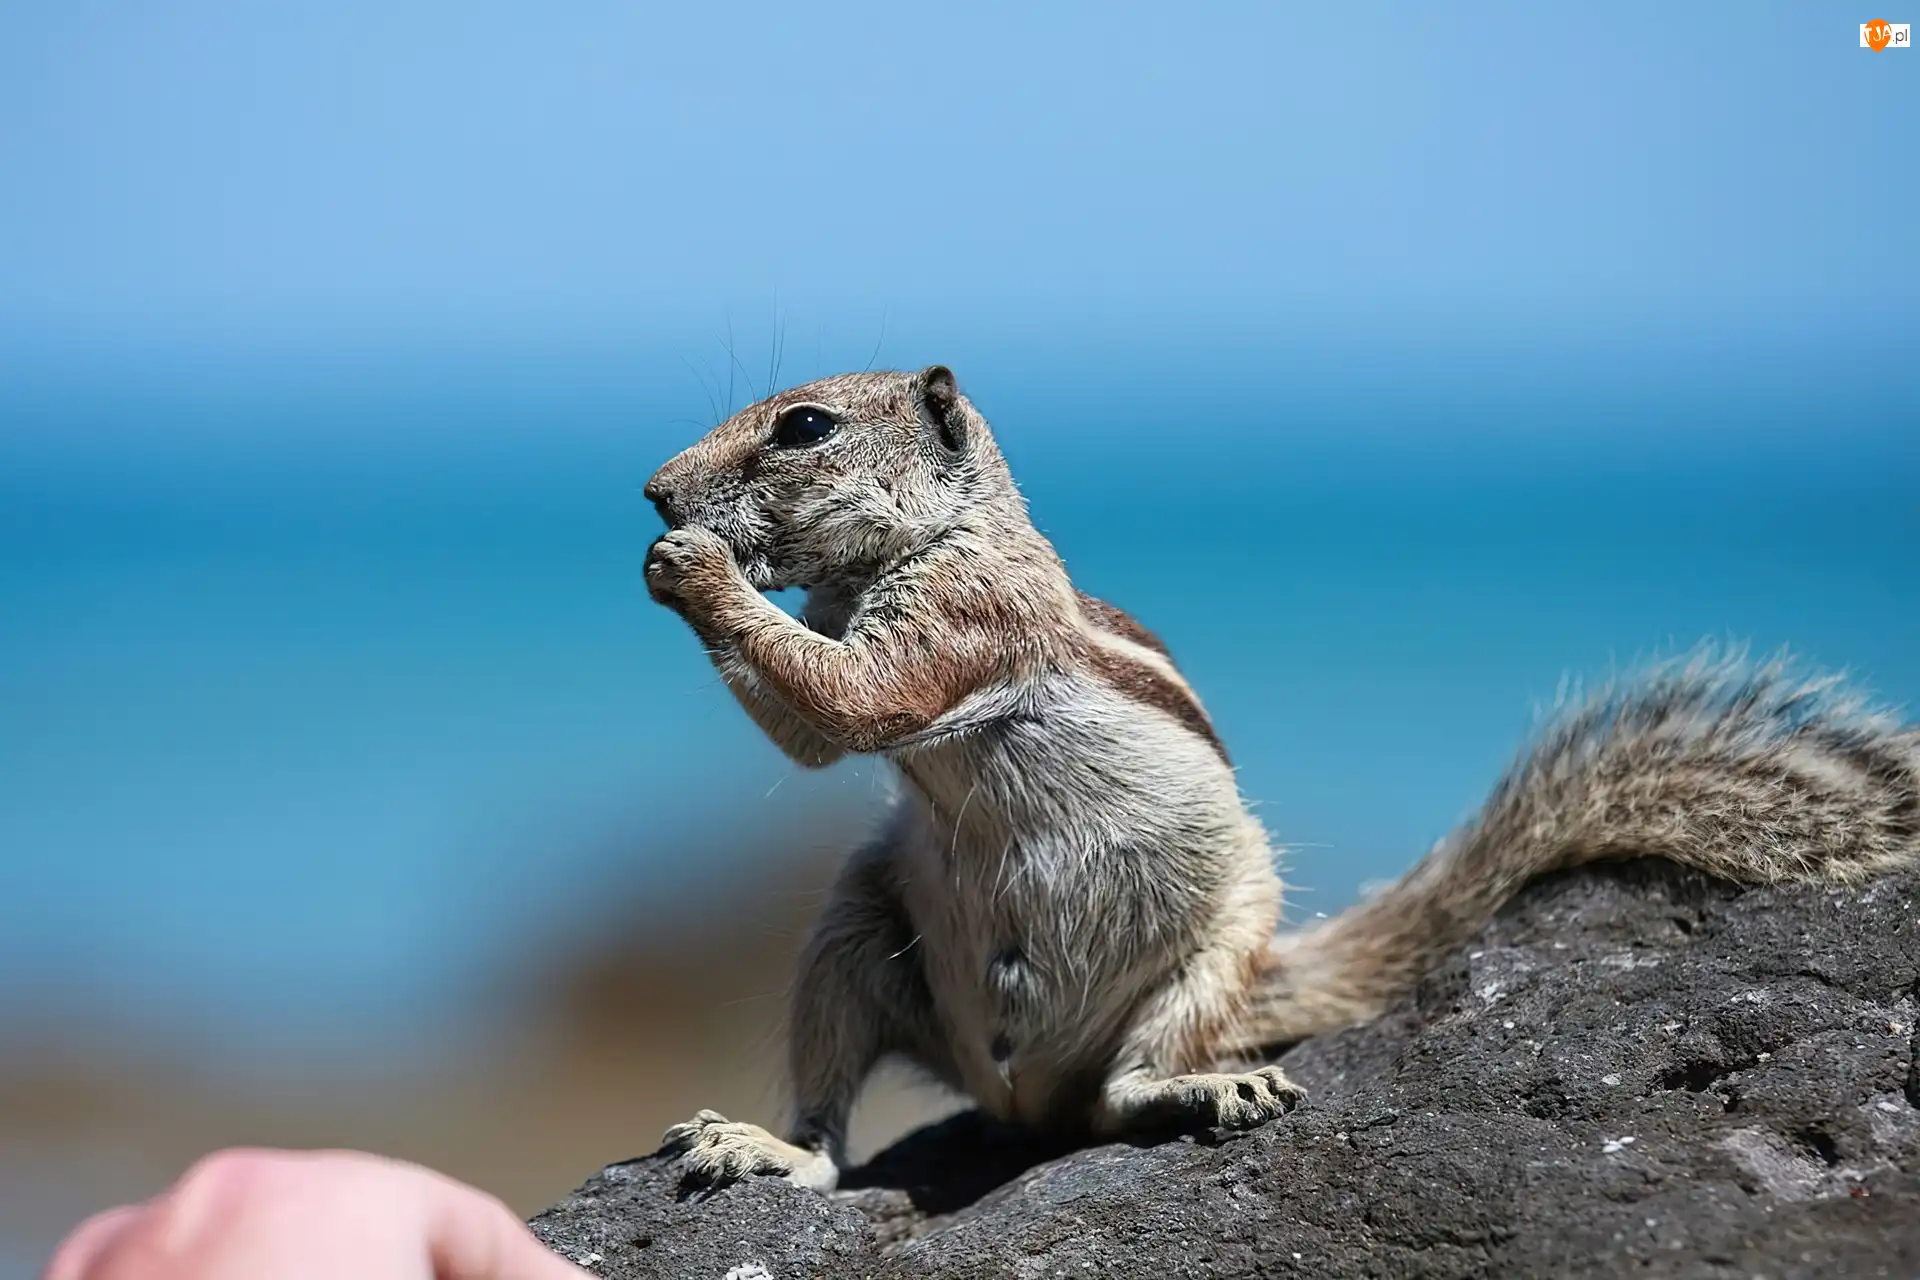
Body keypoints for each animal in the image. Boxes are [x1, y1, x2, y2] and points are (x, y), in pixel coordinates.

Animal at [639, 365, 1920, 1193]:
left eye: (804, 424)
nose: (652, 491)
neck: (943, 534)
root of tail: (1014, 1093)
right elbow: (818, 724)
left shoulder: (965, 619)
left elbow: (854, 696)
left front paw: (692, 565)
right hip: (856, 933)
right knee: (834, 1125)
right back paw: (769, 1145)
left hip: (1211, 952)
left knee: (1119, 1096)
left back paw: (1205, 1091)